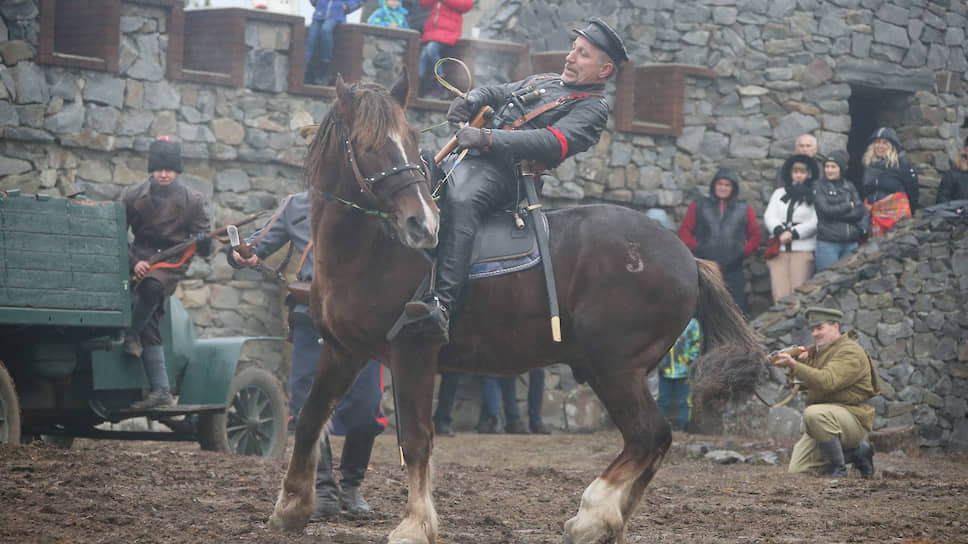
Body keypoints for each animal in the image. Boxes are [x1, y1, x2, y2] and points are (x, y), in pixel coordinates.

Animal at [266, 73, 764, 544]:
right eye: (369, 146)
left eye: (409, 137)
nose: (423, 225)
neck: (368, 250)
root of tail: (687, 258)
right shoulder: (341, 350)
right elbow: (309, 419)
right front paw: (289, 508)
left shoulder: (413, 352)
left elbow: (417, 438)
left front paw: (414, 525)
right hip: (611, 370)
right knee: (650, 441)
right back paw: (609, 521)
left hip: (615, 368)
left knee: (649, 434)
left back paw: (591, 515)